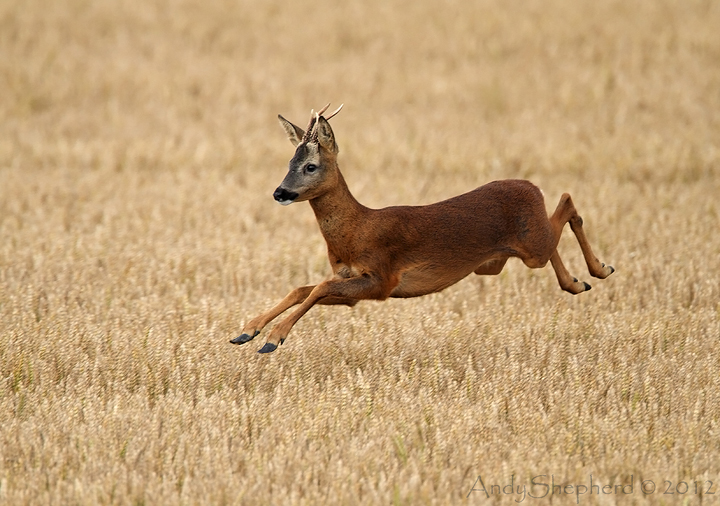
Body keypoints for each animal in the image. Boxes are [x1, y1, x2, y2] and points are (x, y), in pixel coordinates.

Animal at [231, 104, 614, 353]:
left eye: (310, 166)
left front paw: (273, 338)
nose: (280, 192)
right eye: (289, 162)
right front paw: (247, 331)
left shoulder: (382, 278)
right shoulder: (351, 281)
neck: (356, 229)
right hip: (502, 259)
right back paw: (578, 282)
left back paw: (600, 269)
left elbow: (318, 288)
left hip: (532, 244)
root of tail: (530, 186)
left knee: (566, 202)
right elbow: (302, 289)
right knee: (558, 225)